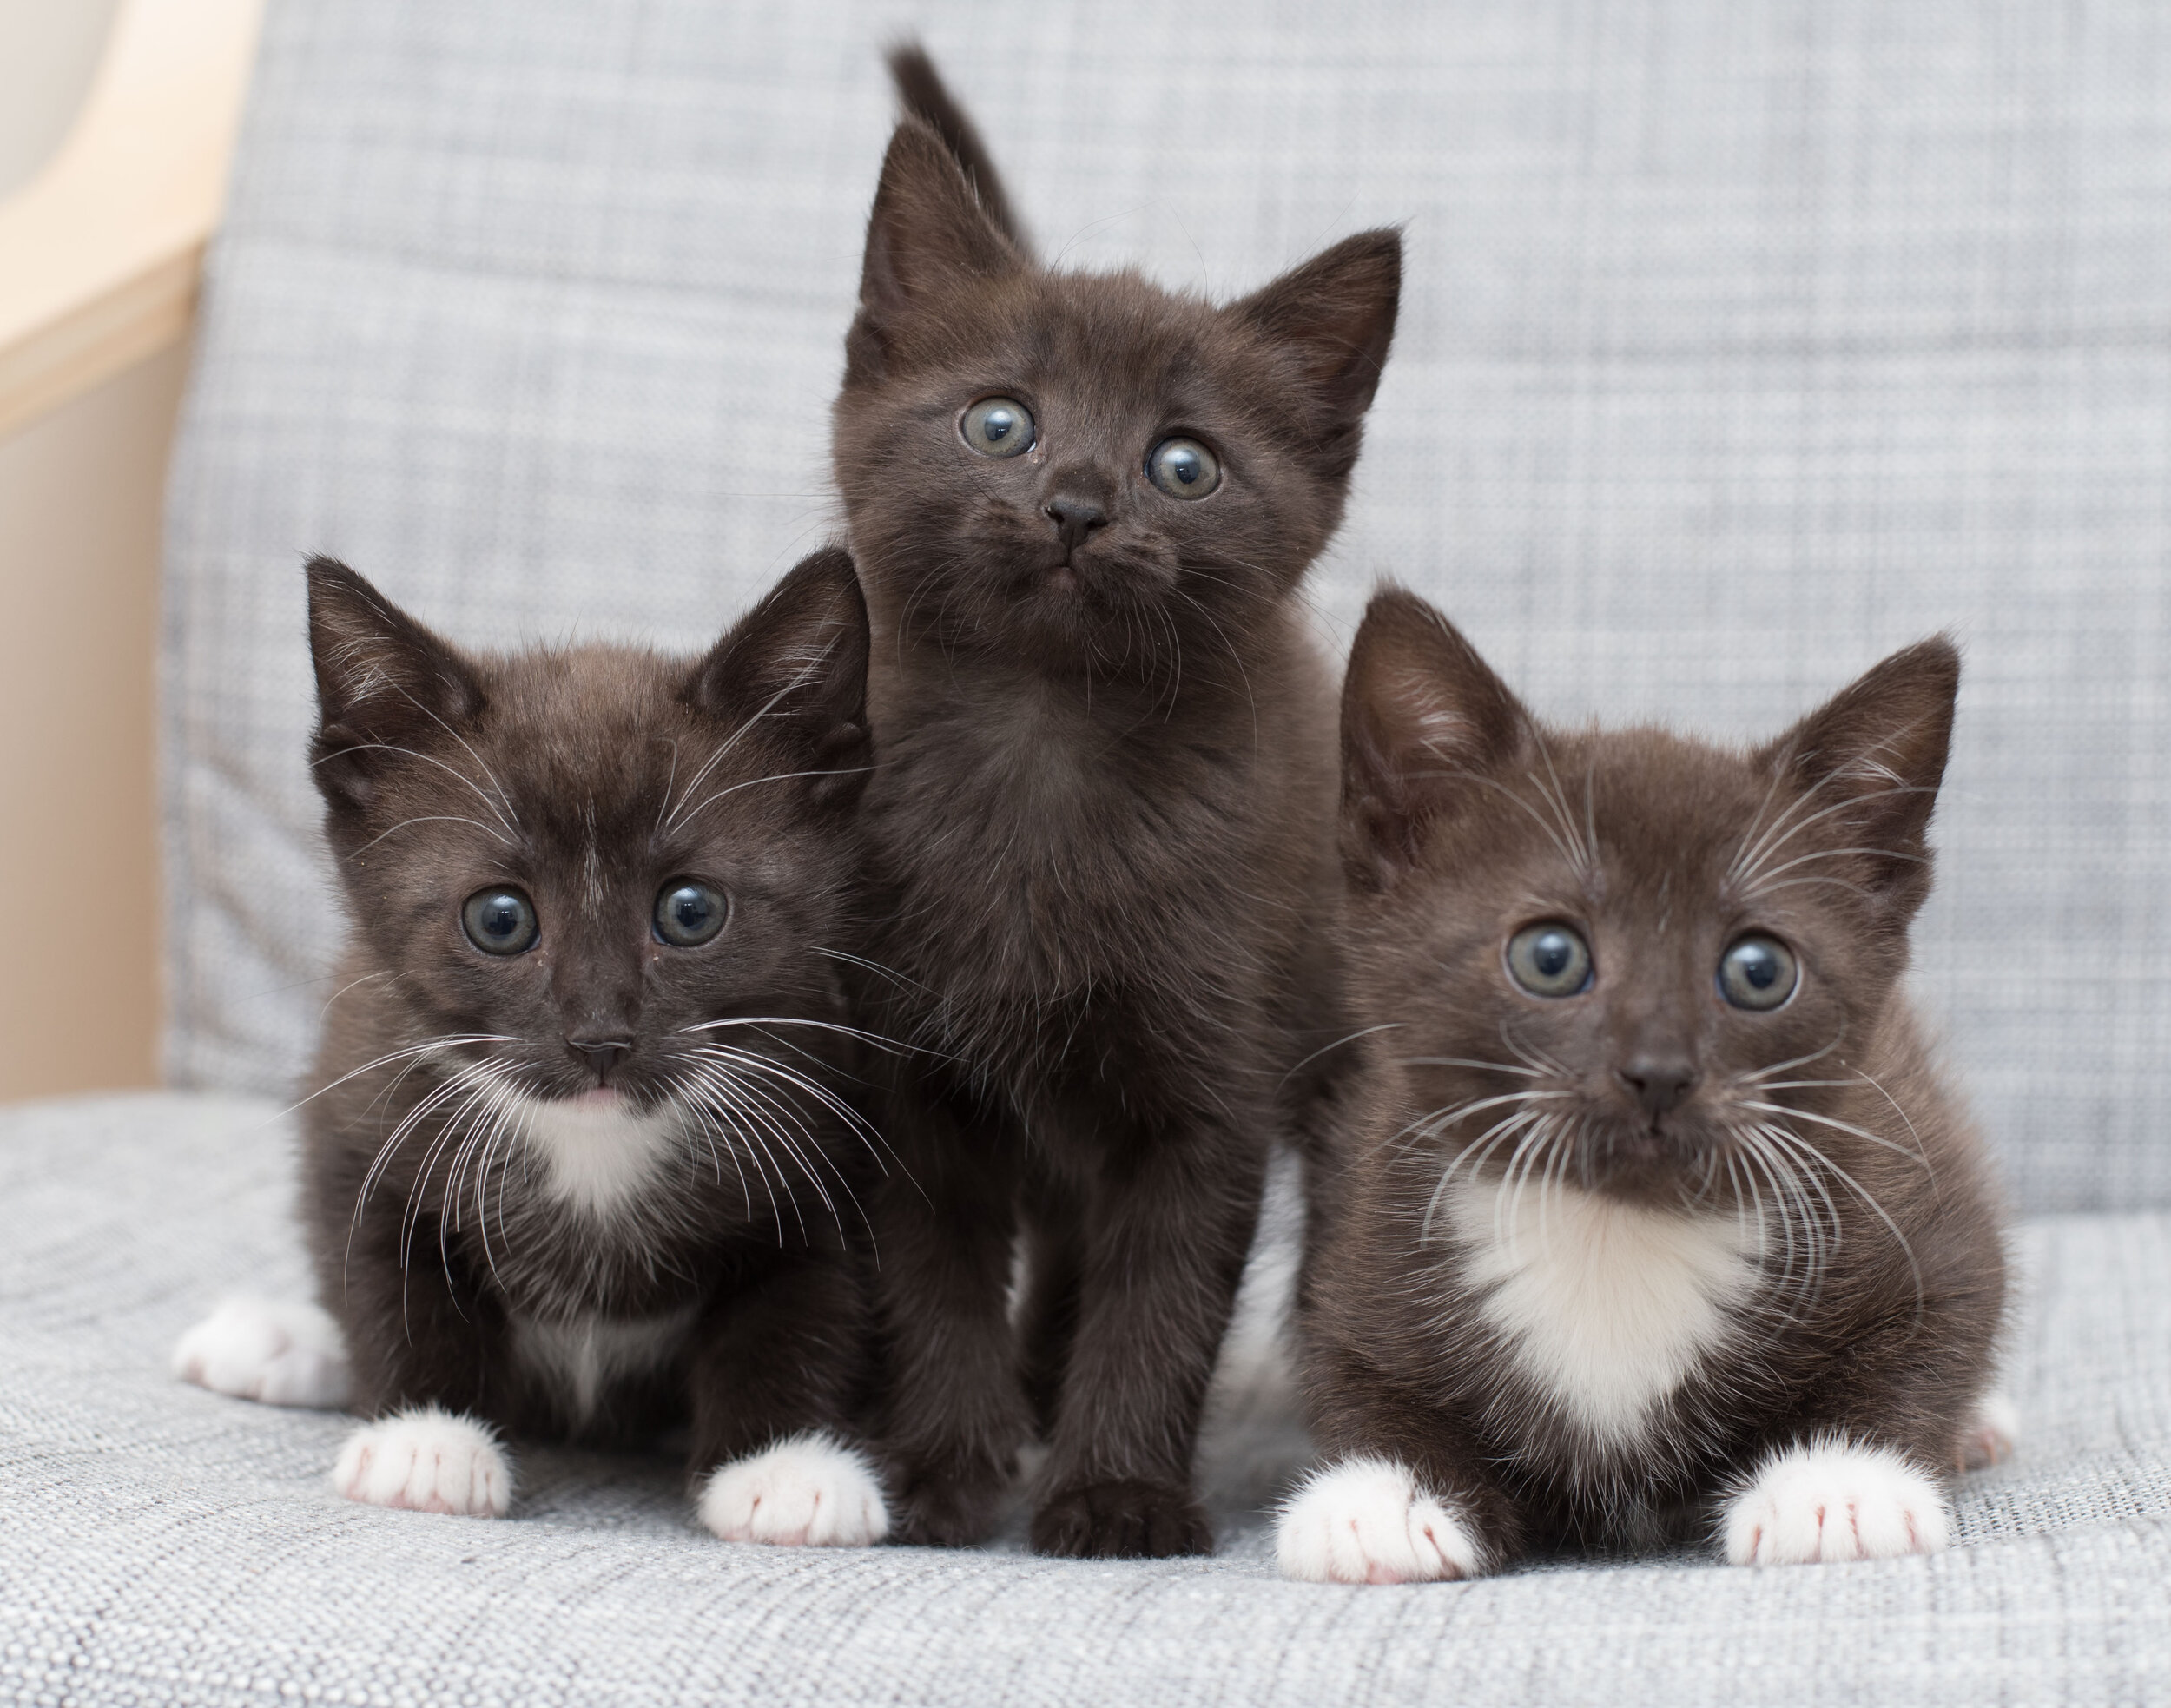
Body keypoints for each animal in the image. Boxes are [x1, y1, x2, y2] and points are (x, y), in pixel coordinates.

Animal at [829, 49, 1407, 1562]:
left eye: (1184, 462)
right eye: (1000, 422)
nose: (1079, 503)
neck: (1046, 748)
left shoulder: (1208, 1088)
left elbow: (1164, 1295)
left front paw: (1119, 1493)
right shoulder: (912, 1076)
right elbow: (933, 1274)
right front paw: (941, 1472)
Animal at [1277, 594, 2006, 1579]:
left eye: (1758, 970)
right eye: (1550, 956)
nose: (1657, 1069)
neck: (1617, 1228)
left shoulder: (1917, 1187)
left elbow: (1932, 1329)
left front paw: (1837, 1487)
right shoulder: (1359, 1230)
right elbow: (1356, 1371)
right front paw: (1384, 1498)